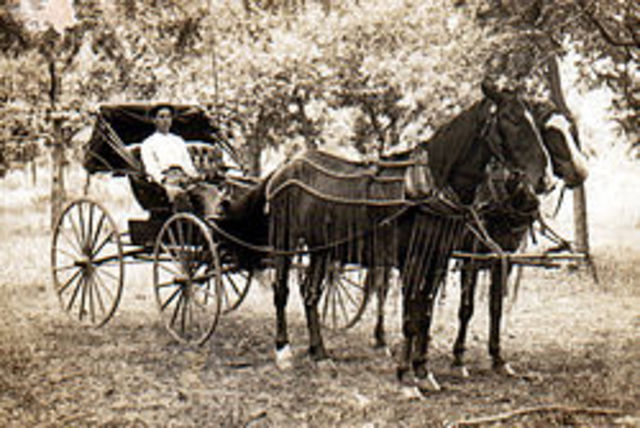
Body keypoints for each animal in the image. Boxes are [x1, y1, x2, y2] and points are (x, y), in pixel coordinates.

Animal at [262, 81, 554, 392]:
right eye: (511, 118)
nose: (543, 179)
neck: (431, 186)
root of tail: (286, 166)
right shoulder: (415, 260)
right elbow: (411, 317)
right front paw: (405, 376)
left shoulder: (438, 259)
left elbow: (425, 313)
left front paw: (422, 370)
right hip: (284, 239)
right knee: (281, 290)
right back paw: (283, 350)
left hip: (322, 247)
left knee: (310, 294)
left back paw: (320, 354)